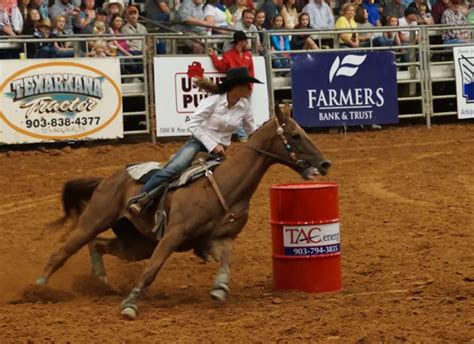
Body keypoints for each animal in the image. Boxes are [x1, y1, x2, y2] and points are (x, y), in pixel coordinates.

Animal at [36, 107, 330, 320]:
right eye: (295, 135)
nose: (325, 163)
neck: (223, 186)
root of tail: (108, 179)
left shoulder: (219, 239)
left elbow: (226, 263)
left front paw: (220, 289)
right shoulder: (172, 235)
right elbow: (151, 271)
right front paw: (130, 305)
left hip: (137, 244)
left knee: (98, 244)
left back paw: (100, 280)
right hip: (95, 219)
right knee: (63, 251)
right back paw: (38, 286)